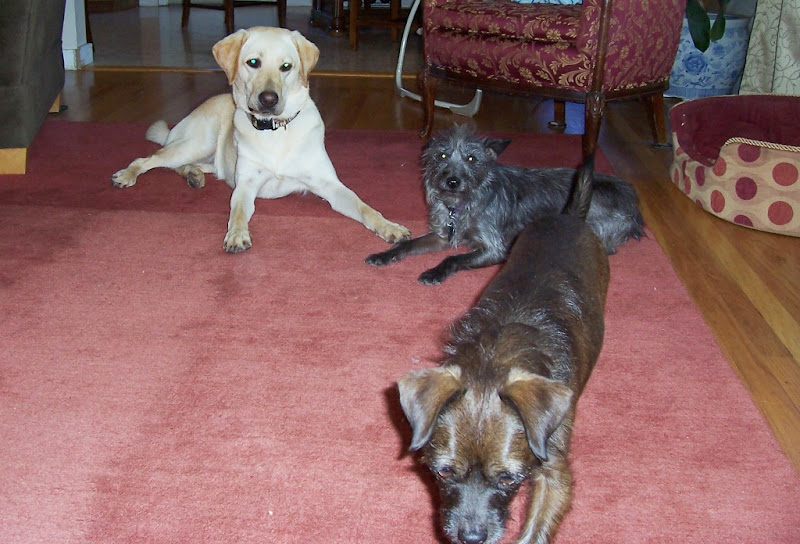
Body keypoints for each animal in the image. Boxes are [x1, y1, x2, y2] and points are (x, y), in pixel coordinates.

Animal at [364, 124, 644, 284]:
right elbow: (408, 245)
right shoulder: (443, 235)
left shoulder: (494, 248)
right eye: (442, 155)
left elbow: (453, 259)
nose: (452, 181)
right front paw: (384, 254)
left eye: (471, 158)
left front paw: (435, 272)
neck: (462, 204)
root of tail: (634, 205)